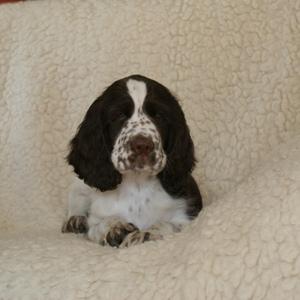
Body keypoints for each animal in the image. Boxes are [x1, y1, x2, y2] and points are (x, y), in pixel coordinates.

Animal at [63, 75, 204, 248]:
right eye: (119, 115)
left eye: (159, 116)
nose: (142, 145)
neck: (138, 183)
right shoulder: (97, 217)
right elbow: (98, 225)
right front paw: (115, 227)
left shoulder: (185, 215)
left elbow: (169, 224)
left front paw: (146, 233)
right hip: (80, 187)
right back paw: (75, 221)